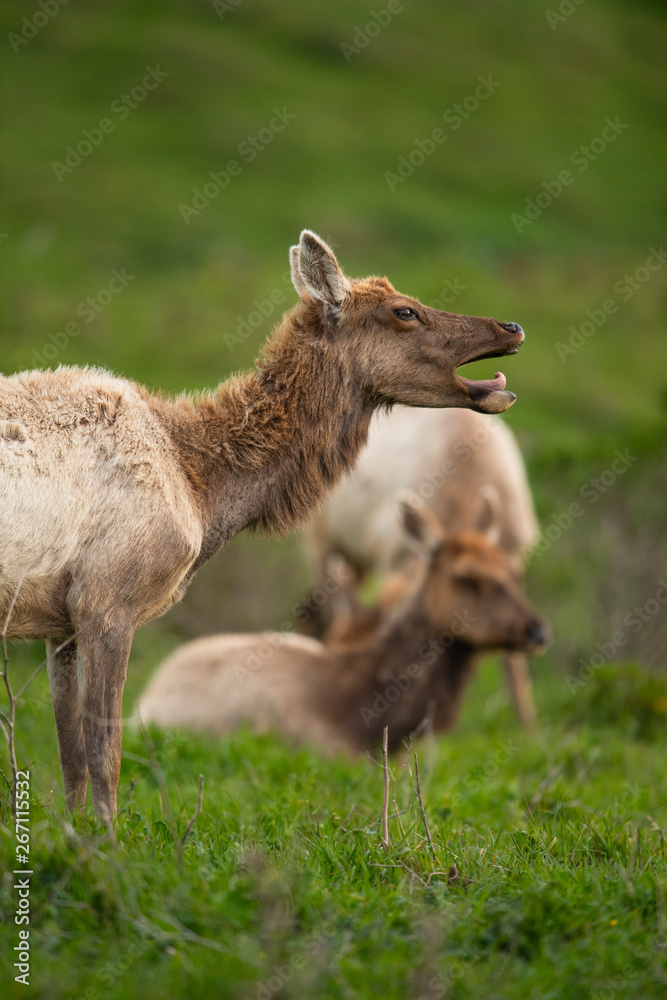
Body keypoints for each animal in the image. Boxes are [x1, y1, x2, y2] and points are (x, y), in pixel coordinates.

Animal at [302, 405, 544, 727]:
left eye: (517, 576)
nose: (539, 634)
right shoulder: (392, 555)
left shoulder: (514, 554)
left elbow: (515, 668)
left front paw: (530, 727)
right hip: (320, 540)